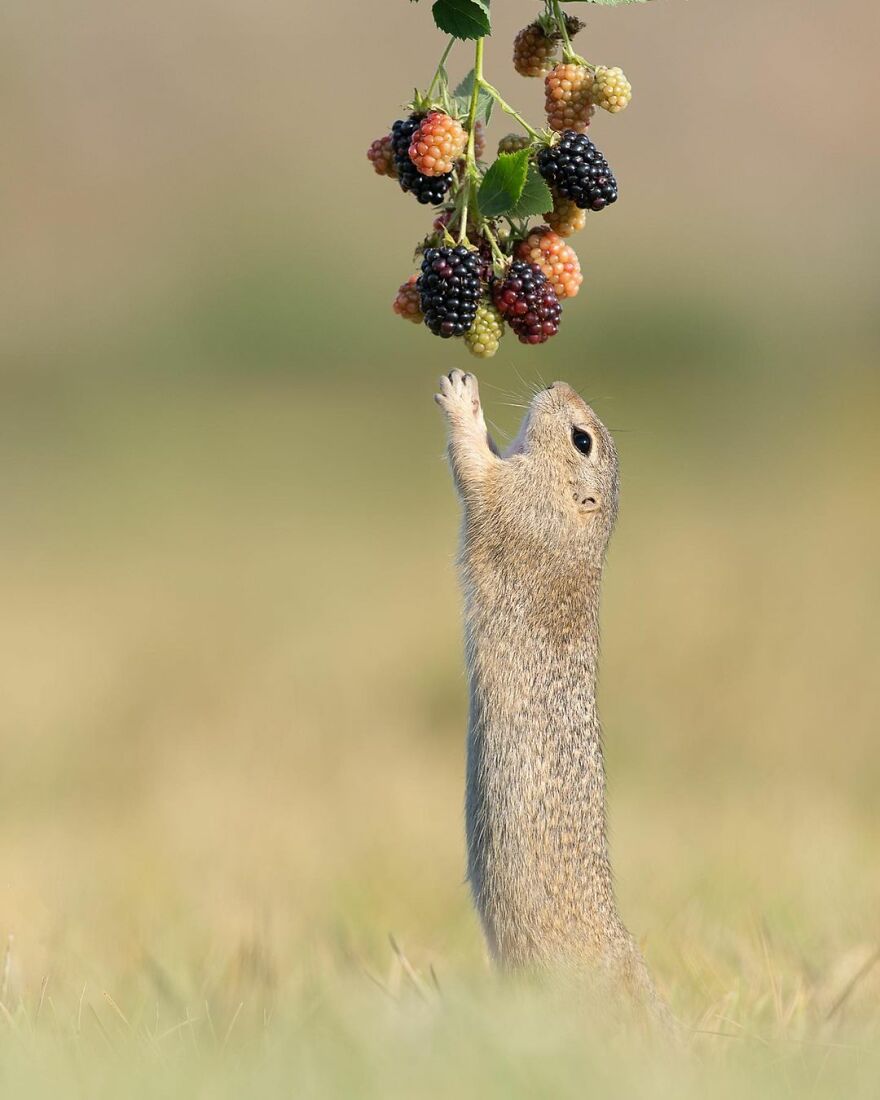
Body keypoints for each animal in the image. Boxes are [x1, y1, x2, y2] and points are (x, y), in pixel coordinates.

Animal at [435, 369, 668, 1020]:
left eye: (581, 440)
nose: (559, 381)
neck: (576, 527)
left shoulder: (516, 505)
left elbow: (474, 473)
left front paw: (461, 399)